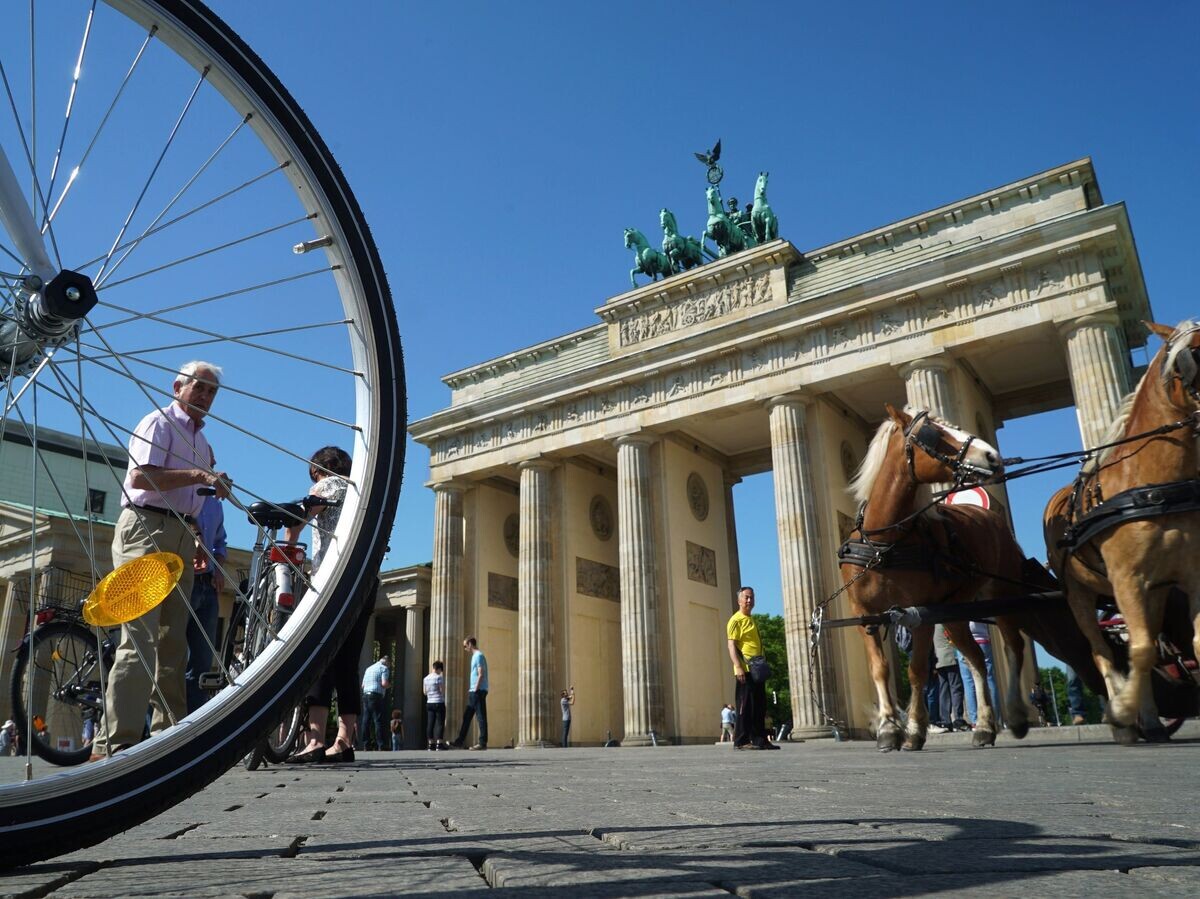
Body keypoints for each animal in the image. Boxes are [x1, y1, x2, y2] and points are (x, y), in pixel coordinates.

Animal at [844, 403, 1032, 748]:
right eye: (933, 433)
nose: (991, 456)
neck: (883, 543)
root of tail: (989, 514)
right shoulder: (865, 614)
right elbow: (880, 668)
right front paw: (888, 728)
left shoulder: (919, 613)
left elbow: (917, 670)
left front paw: (914, 731)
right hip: (955, 613)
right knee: (975, 658)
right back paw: (984, 726)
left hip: (1001, 594)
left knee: (1013, 646)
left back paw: (1013, 715)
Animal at [1041, 319, 1200, 739]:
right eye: (1191, 357)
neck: (1154, 488)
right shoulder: (1127, 577)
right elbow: (1137, 650)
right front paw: (1124, 710)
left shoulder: (1188, 575)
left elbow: (1188, 642)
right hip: (1080, 595)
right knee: (1103, 651)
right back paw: (1123, 718)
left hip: (1152, 591)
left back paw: (1149, 720)